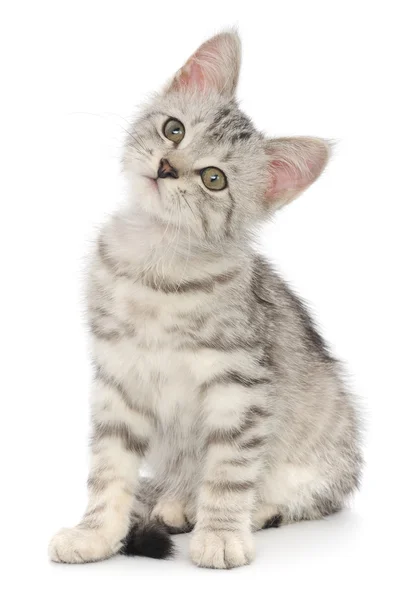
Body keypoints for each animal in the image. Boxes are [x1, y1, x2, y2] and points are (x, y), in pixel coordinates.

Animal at [48, 30, 360, 568]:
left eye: (214, 179)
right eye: (174, 130)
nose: (167, 167)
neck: (154, 263)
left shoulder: (240, 385)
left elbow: (229, 472)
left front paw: (220, 534)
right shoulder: (118, 380)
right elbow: (109, 471)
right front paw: (95, 534)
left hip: (326, 457)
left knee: (309, 497)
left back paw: (246, 511)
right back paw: (176, 502)